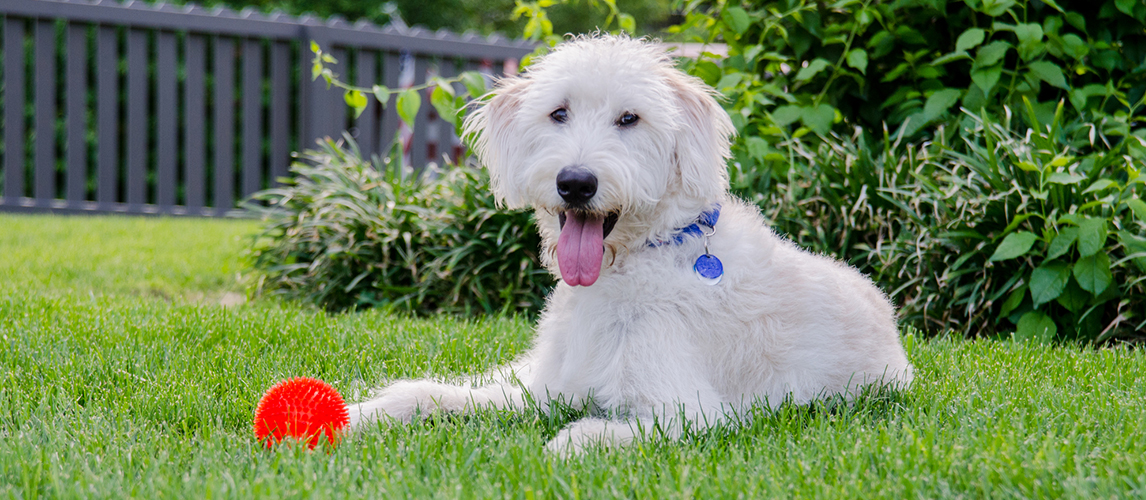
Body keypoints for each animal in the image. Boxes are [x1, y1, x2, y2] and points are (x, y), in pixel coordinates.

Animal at [348, 33, 912, 451]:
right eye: (559, 113)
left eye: (629, 118)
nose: (576, 183)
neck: (637, 262)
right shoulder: (547, 386)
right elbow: (437, 397)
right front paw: (362, 413)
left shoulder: (694, 413)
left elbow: (579, 435)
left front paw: (565, 443)